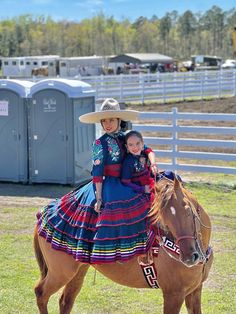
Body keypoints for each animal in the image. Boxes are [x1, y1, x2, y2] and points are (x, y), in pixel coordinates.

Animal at [33, 178, 214, 312]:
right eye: (164, 219)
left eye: (188, 210)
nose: (189, 257)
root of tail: (45, 213)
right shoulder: (173, 295)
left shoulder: (195, 291)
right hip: (60, 273)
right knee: (41, 293)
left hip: (78, 271)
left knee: (66, 301)